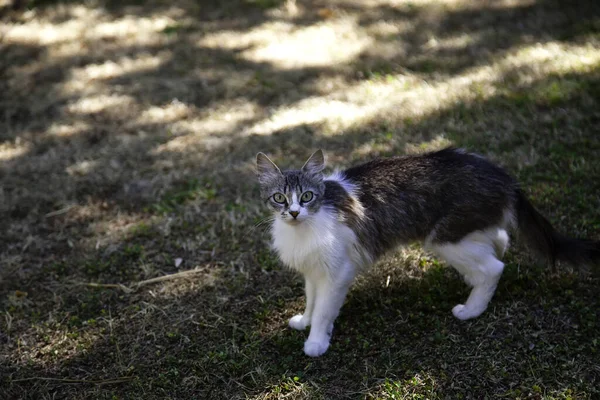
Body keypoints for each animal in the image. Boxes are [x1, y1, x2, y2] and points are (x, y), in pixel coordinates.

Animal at [254, 148, 600, 358]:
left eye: (307, 197)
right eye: (280, 198)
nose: (294, 212)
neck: (305, 228)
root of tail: (503, 176)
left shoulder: (336, 272)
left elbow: (325, 310)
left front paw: (316, 341)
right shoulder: (314, 271)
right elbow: (312, 303)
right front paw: (304, 322)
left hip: (444, 239)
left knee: (493, 268)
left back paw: (471, 310)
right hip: (465, 232)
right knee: (499, 238)